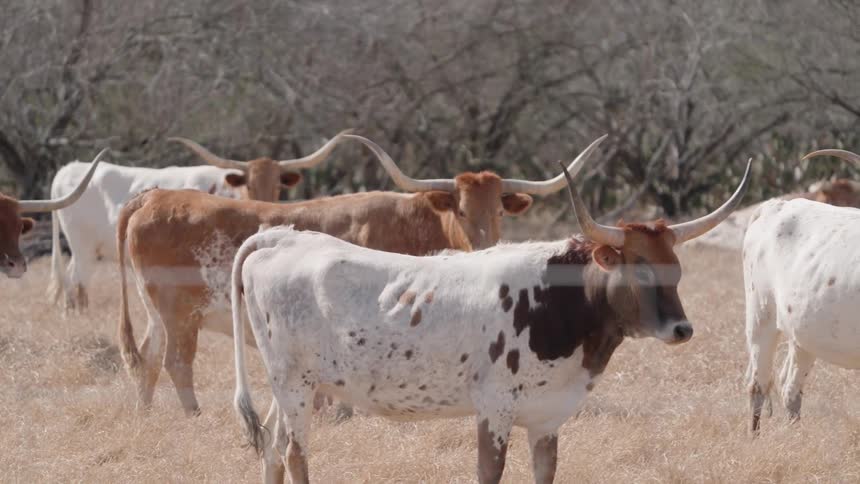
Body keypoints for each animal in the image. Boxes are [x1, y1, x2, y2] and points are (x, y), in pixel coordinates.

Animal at [48, 131, 350, 310]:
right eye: (249, 184)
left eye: (278, 185)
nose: (266, 203)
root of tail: (67, 169)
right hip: (83, 248)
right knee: (77, 283)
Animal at [115, 134, 607, 419]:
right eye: (462, 210)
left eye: (499, 211)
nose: (485, 242)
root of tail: (153, 196)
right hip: (180, 312)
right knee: (177, 362)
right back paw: (194, 416)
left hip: (158, 311)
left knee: (147, 358)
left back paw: (144, 415)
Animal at [229, 158, 751, 484]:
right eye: (640, 268)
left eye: (676, 268)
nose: (682, 330)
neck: (556, 300)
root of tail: (283, 236)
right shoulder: (494, 411)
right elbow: (490, 473)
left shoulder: (547, 418)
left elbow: (544, 473)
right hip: (296, 385)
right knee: (294, 453)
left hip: (290, 387)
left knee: (273, 447)